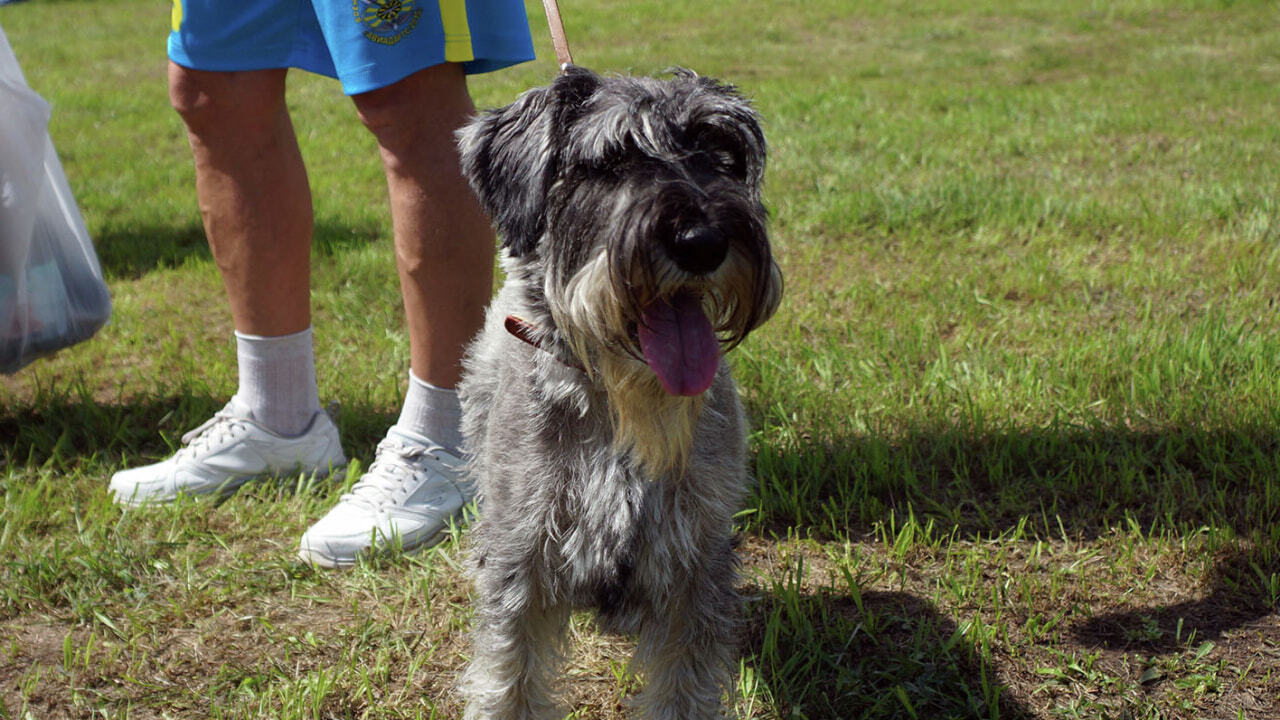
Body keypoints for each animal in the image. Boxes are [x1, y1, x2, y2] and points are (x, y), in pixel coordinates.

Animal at [455, 65, 783, 717]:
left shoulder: (695, 562)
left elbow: (685, 686)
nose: (703, 241)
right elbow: (508, 677)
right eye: (610, 161)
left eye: (722, 154)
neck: (615, 406)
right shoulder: (520, 556)